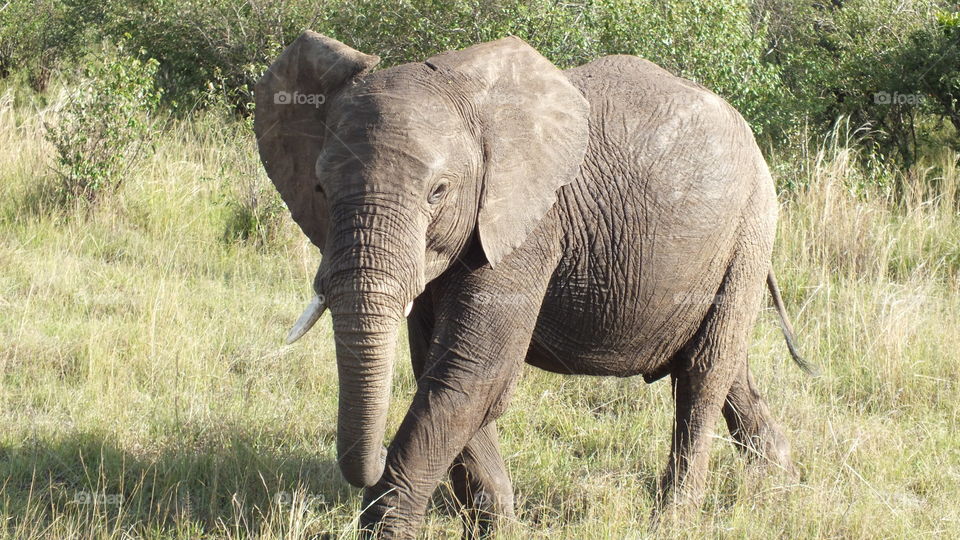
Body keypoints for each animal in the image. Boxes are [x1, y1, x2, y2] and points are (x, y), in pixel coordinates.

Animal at [254, 32, 814, 538]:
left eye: (439, 191)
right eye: (321, 188)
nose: (369, 464)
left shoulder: (529, 226)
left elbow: (471, 372)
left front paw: (388, 530)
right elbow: (445, 369)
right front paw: (497, 527)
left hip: (750, 228)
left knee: (703, 374)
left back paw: (675, 521)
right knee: (724, 366)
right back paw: (780, 486)